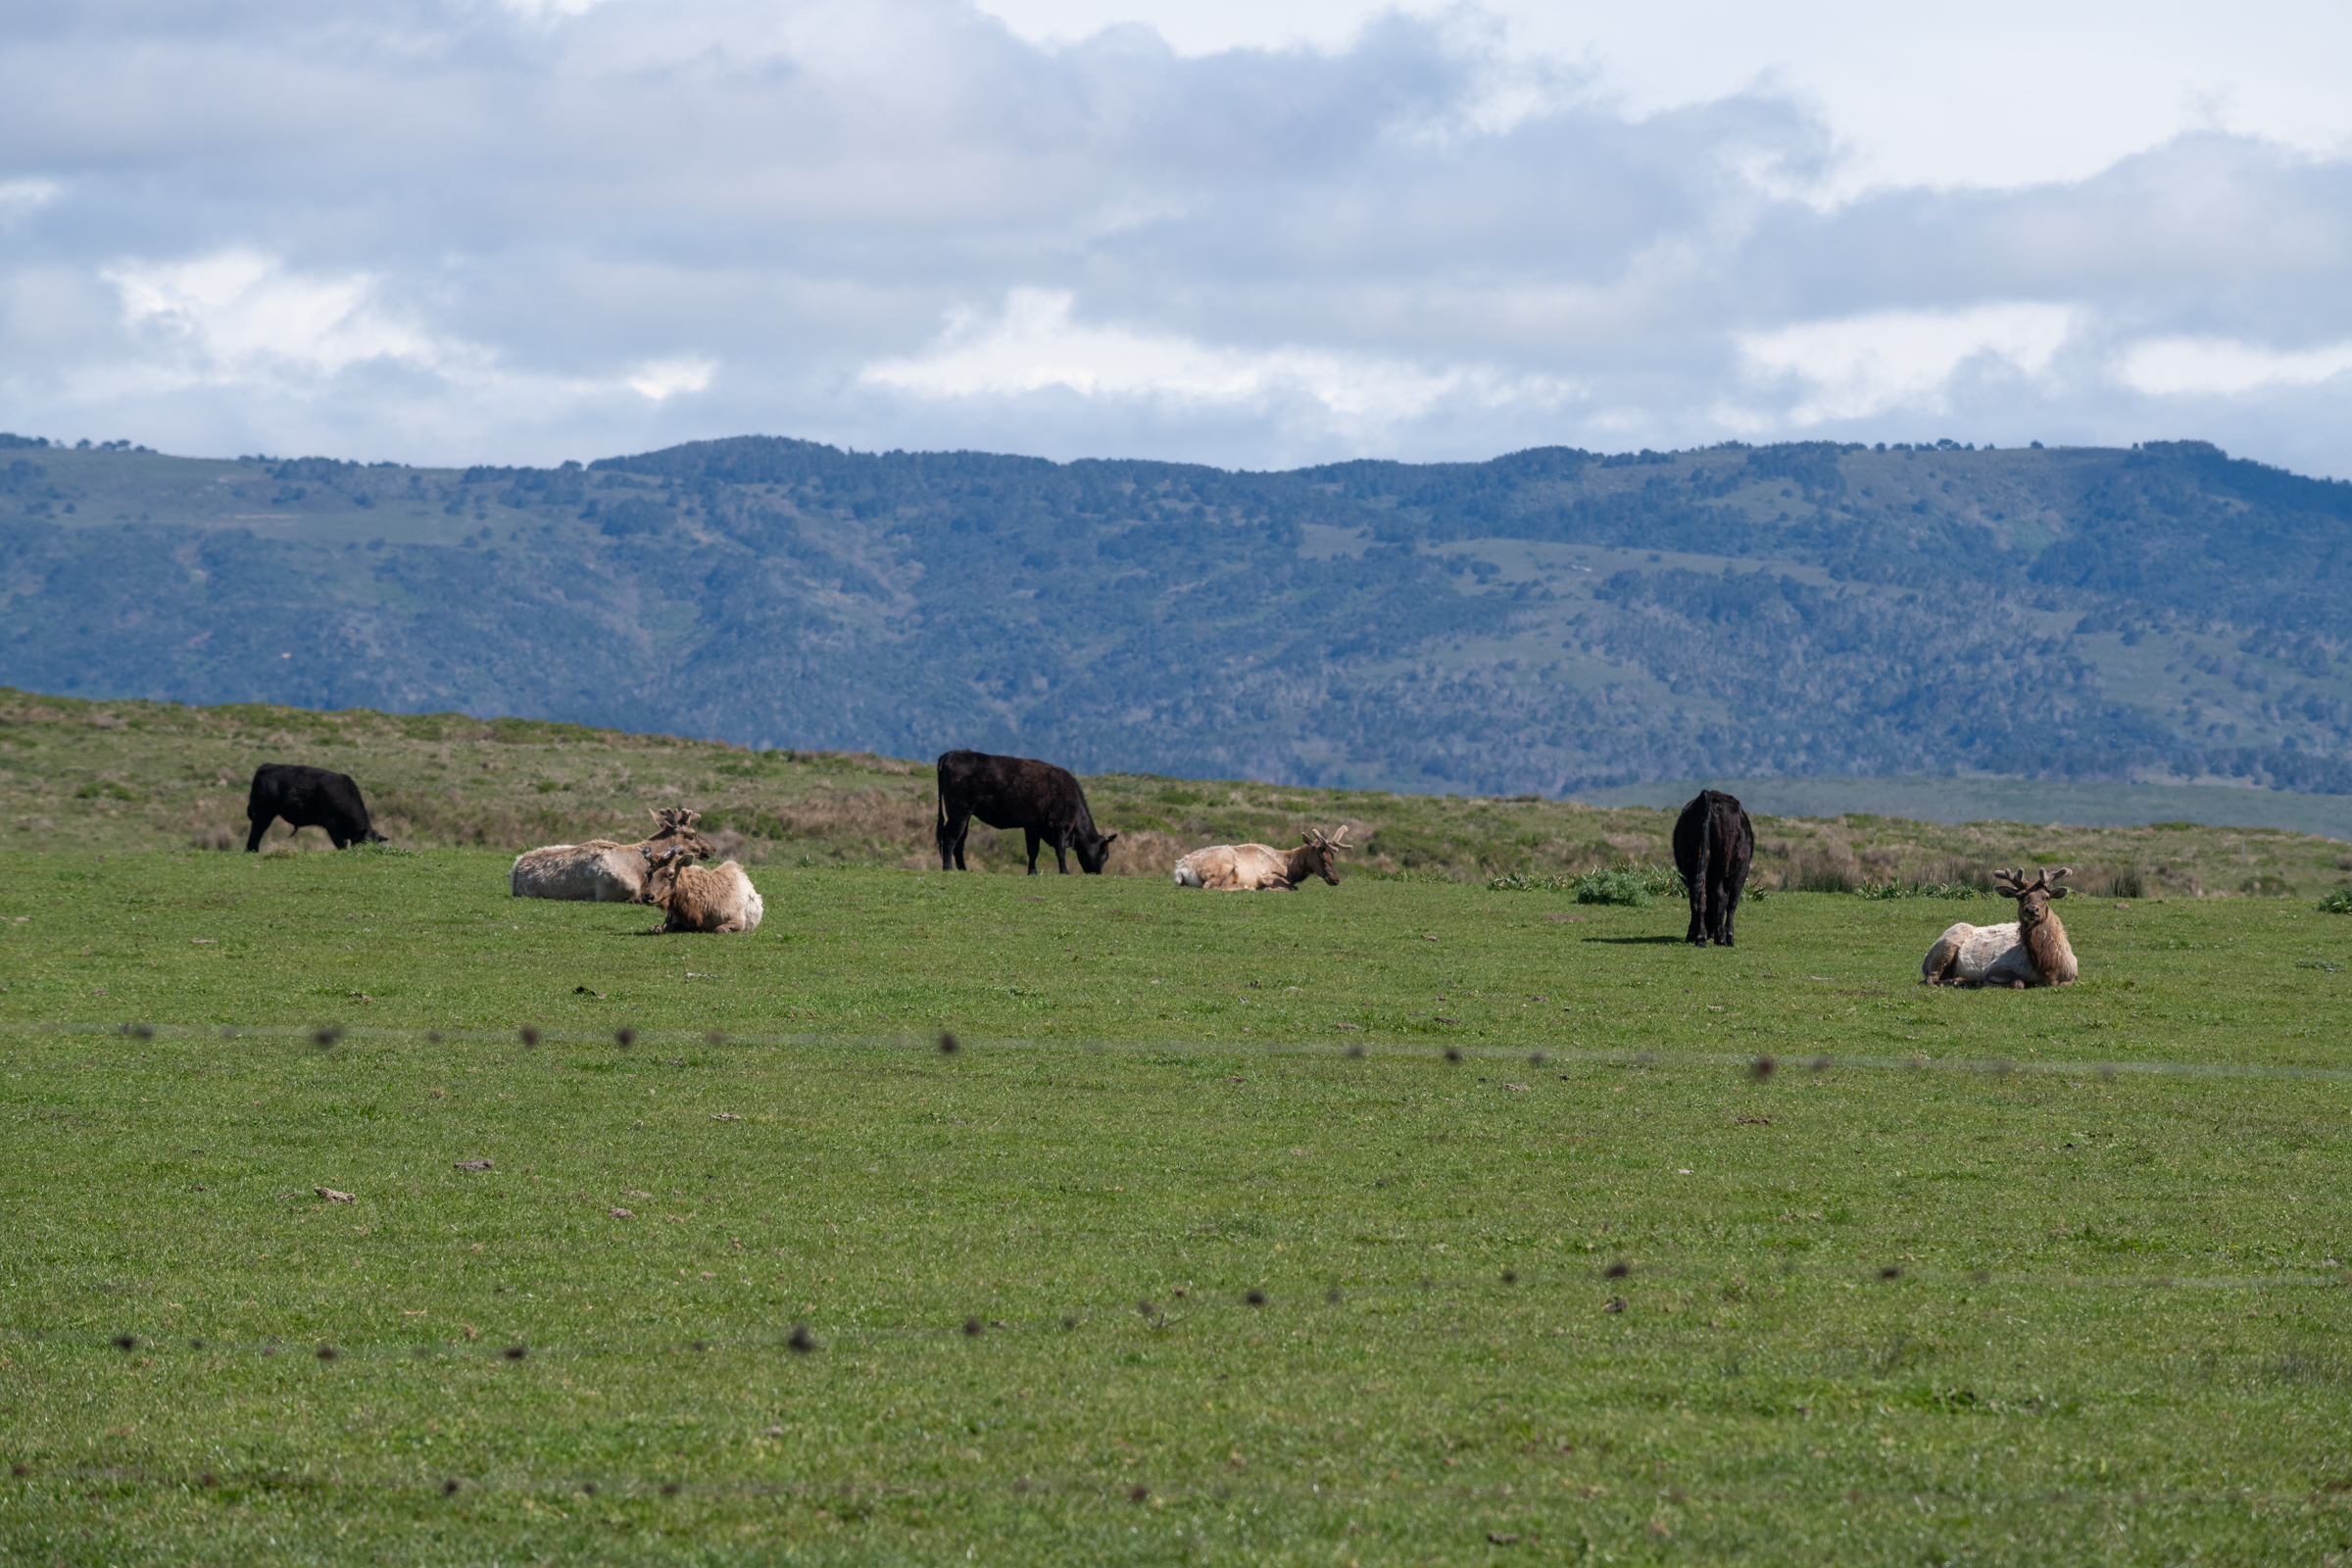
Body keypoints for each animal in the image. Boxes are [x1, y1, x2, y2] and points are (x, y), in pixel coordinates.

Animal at [244, 764, 387, 851]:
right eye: (365, 842)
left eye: (376, 843)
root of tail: (266, 766)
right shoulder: (332, 824)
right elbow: (341, 843)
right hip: (263, 813)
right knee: (257, 831)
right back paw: (252, 850)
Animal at [935, 749, 1118, 875]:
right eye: (1105, 855)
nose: (1098, 873)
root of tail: (952, 753)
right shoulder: (1059, 826)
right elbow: (1060, 850)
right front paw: (1064, 872)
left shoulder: (1033, 827)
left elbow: (1033, 851)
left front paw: (1032, 872)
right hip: (959, 811)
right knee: (950, 837)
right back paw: (948, 868)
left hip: (963, 815)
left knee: (960, 841)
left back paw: (963, 869)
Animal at [1172, 826, 1353, 891]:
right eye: (1321, 856)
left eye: (1332, 856)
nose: (1335, 879)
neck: (1289, 867)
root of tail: (1180, 869)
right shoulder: (1267, 875)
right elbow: (1293, 887)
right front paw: (1267, 889)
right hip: (1223, 865)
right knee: (1210, 886)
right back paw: (1247, 887)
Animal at [1672, 788, 1754, 947]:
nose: (1710, 932)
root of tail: (1707, 795)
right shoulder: (1741, 875)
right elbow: (1731, 904)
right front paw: (1729, 936)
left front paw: (1692, 932)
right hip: (1721, 870)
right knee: (1720, 898)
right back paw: (1721, 938)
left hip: (1694, 866)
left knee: (1697, 897)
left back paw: (1699, 937)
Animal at [1920, 867, 2078, 988]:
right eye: (2019, 896)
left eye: (2046, 897)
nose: (2031, 910)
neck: (2049, 969)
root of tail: (1923, 963)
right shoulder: (1994, 969)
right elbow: (2018, 982)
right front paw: (1980, 982)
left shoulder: (2072, 975)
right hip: (1949, 941)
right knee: (1929, 979)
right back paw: (1959, 981)